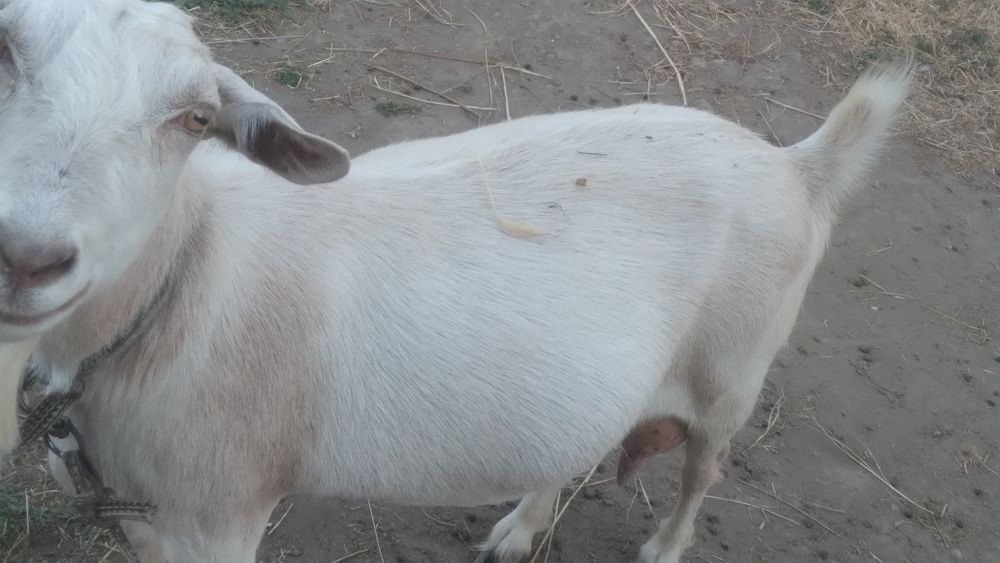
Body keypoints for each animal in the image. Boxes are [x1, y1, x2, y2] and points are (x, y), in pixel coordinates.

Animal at [0, 0, 913, 561]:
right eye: (7, 50)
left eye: (195, 119)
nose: (25, 254)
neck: (183, 282)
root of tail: (798, 164)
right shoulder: (144, 516)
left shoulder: (219, 513)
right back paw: (520, 526)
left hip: (733, 368)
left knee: (702, 469)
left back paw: (665, 545)